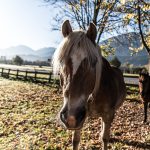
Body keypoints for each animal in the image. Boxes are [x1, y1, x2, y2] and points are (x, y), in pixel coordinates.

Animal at [52, 20, 126, 150]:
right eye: (62, 62)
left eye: (93, 63)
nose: (70, 117)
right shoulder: (80, 119)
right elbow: (75, 141)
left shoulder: (109, 115)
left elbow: (105, 139)